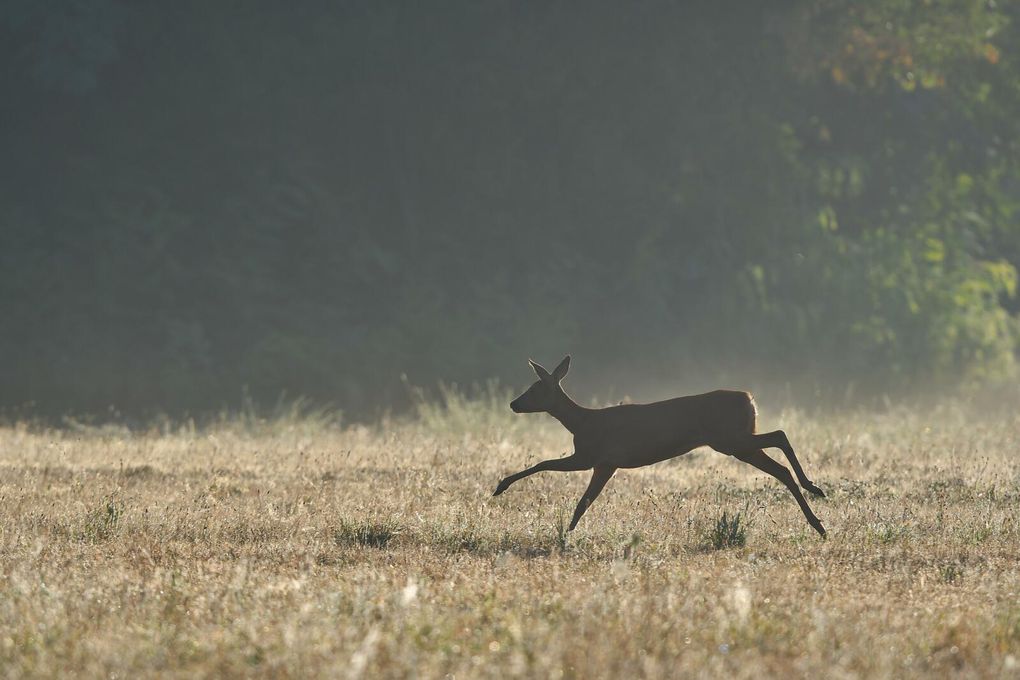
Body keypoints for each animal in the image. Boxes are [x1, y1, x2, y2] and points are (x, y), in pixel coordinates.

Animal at [493, 356, 828, 538]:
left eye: (535, 389)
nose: (513, 404)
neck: (582, 422)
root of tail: (749, 399)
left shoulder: (592, 456)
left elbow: (547, 467)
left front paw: (502, 487)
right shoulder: (605, 463)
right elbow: (583, 501)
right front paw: (568, 533)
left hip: (730, 439)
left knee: (780, 436)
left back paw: (815, 496)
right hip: (737, 441)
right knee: (780, 464)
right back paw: (817, 514)